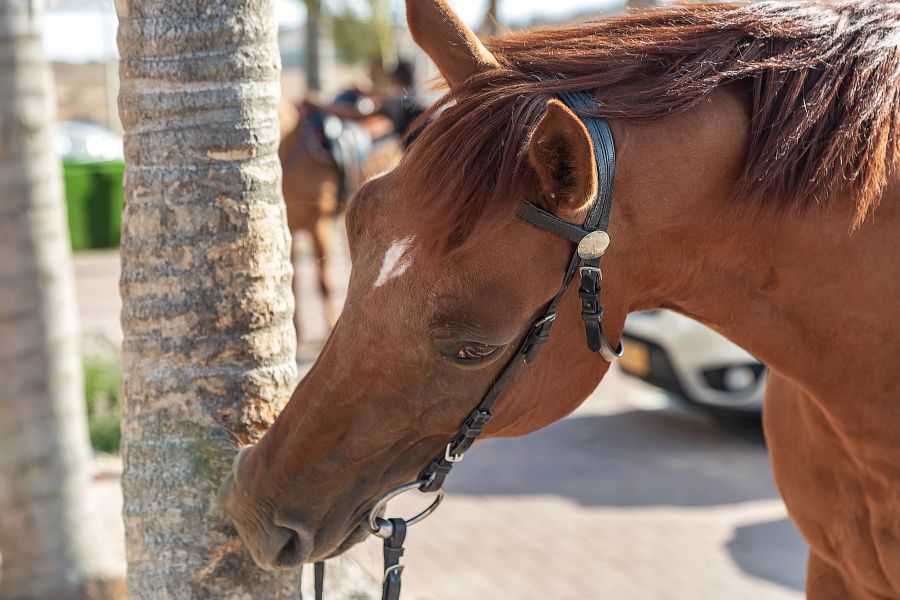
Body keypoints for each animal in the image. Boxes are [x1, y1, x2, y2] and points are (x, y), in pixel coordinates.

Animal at [276, 101, 400, 340]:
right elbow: (292, 282)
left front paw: (330, 324)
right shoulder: (292, 229)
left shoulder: (319, 225)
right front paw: (296, 330)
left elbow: (324, 283)